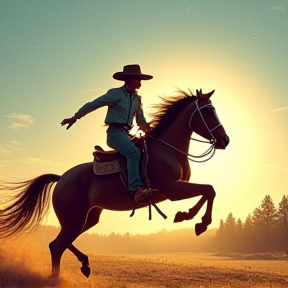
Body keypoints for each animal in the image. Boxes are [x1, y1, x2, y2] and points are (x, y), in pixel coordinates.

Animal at [0, 89, 230, 276]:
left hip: (88, 218)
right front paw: (198, 221)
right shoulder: (171, 189)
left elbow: (208, 191)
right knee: (57, 246)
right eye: (208, 111)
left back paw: (84, 264)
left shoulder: (175, 189)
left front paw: (187, 216)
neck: (167, 150)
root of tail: (61, 178)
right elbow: (209, 190)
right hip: (74, 219)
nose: (224, 140)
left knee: (58, 243)